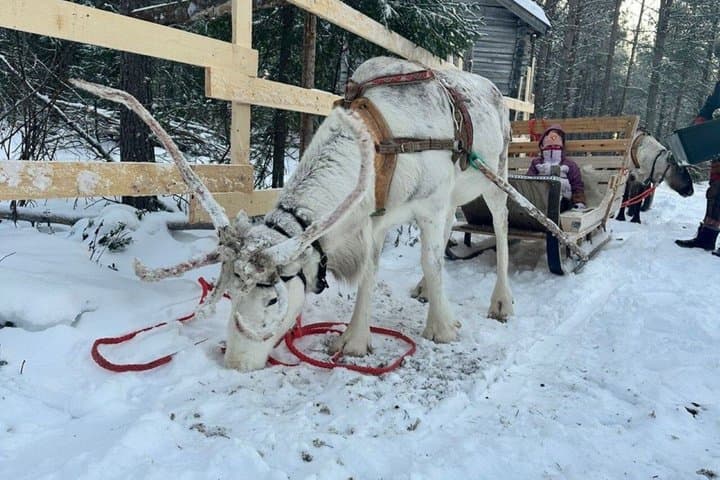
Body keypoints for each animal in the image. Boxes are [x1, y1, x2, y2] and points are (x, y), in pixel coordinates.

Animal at [71, 56, 514, 372]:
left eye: (271, 300)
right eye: (231, 293)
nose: (235, 363)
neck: (382, 137)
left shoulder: (431, 203)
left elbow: (431, 259)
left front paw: (443, 328)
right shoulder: (374, 217)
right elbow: (370, 272)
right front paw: (355, 340)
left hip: (496, 175)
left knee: (500, 224)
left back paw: (501, 302)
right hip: (458, 193)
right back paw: (424, 290)